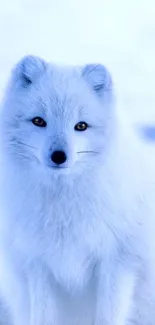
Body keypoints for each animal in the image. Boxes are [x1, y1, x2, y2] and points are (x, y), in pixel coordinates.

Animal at [0, 55, 155, 324]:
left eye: (81, 126)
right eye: (39, 121)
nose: (59, 156)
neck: (63, 206)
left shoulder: (118, 262)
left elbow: (107, 317)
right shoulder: (38, 265)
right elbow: (42, 317)